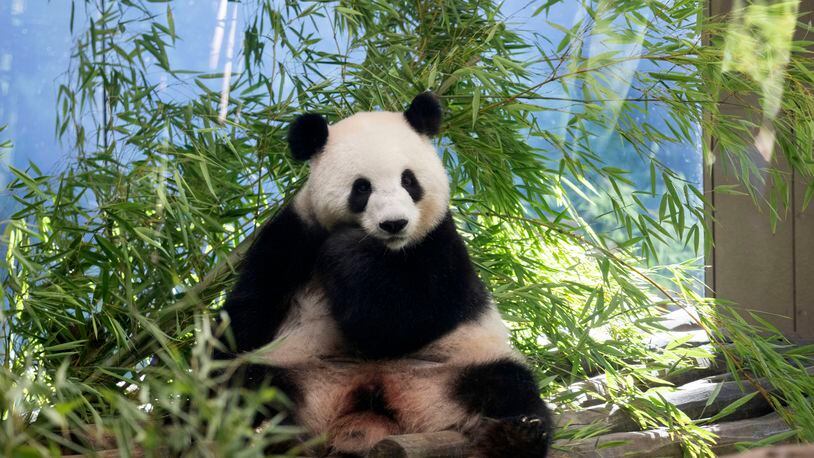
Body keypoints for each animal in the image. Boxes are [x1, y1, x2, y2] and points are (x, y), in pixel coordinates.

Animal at [218, 93, 556, 458]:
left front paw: (345, 248)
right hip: (298, 369)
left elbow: (400, 319)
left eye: (408, 180)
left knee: (508, 385)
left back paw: (515, 435)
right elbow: (250, 308)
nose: (394, 224)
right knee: (249, 384)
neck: (386, 251)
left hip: (455, 366)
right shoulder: (294, 234)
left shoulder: (439, 243)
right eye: (362, 188)